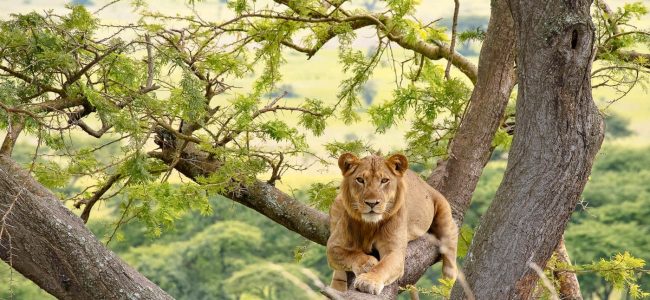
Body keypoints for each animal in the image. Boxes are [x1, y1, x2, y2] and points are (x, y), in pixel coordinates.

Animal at [324, 154, 456, 294]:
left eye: (384, 180)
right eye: (360, 180)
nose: (372, 203)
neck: (369, 225)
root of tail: (426, 186)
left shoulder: (394, 252)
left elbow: (383, 266)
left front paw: (369, 281)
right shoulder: (333, 246)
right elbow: (351, 254)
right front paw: (368, 264)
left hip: (444, 212)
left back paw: (447, 284)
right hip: (338, 202)